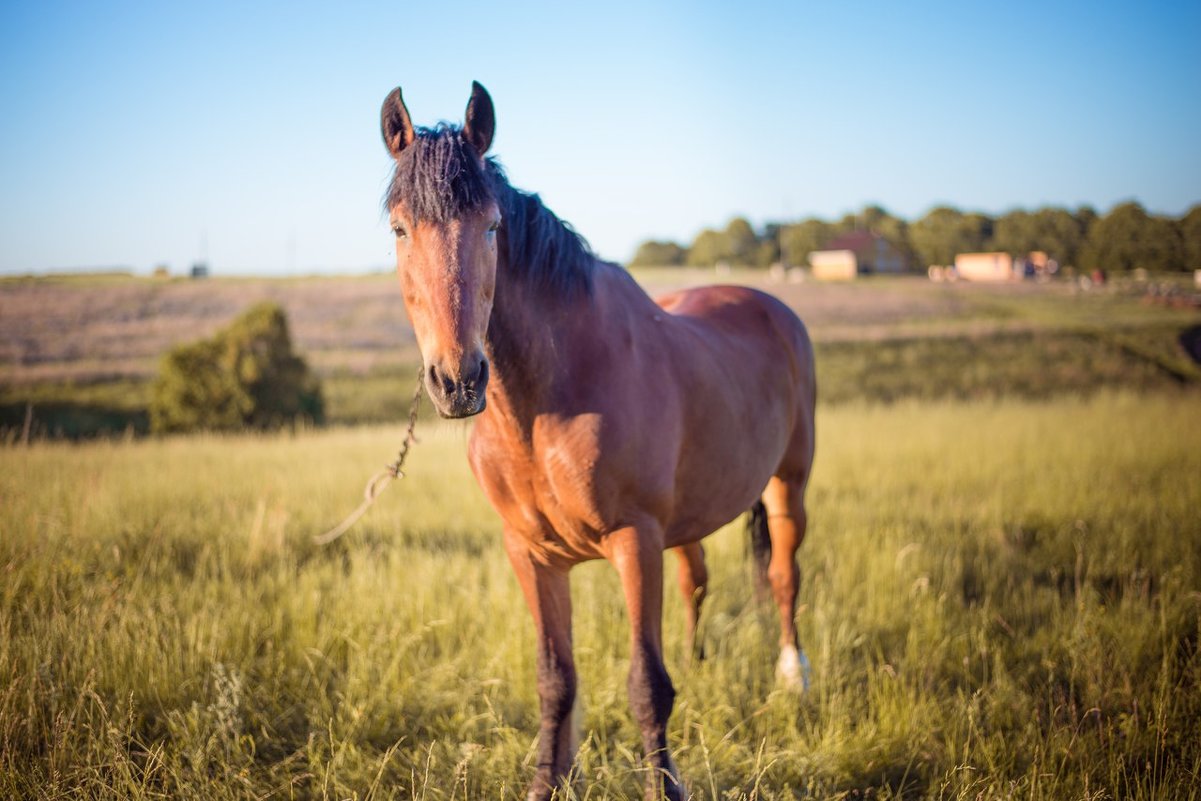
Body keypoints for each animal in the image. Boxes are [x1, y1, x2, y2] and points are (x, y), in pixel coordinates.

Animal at [379, 81, 821, 801]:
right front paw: (545, 784)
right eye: (399, 229)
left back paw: (794, 676)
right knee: (696, 579)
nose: (458, 380)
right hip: (688, 519)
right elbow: (555, 681)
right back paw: (701, 661)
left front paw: (664, 787)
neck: (546, 402)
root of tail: (770, 306)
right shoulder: (531, 554)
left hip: (789, 485)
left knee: (784, 574)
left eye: (493, 225)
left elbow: (645, 685)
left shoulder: (632, 540)